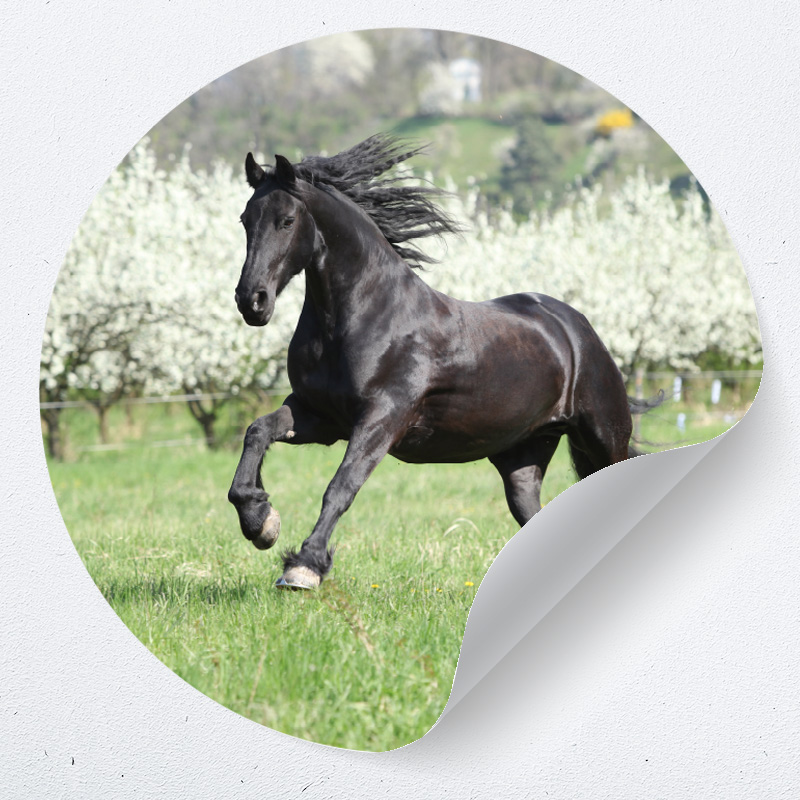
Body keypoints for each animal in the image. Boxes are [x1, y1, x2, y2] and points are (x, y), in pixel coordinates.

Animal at [227, 134, 655, 589]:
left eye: (287, 220)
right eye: (245, 220)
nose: (251, 301)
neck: (365, 315)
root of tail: (578, 329)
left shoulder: (381, 419)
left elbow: (341, 486)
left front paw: (303, 566)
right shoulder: (319, 415)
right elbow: (257, 432)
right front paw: (261, 522)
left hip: (603, 435)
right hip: (523, 457)